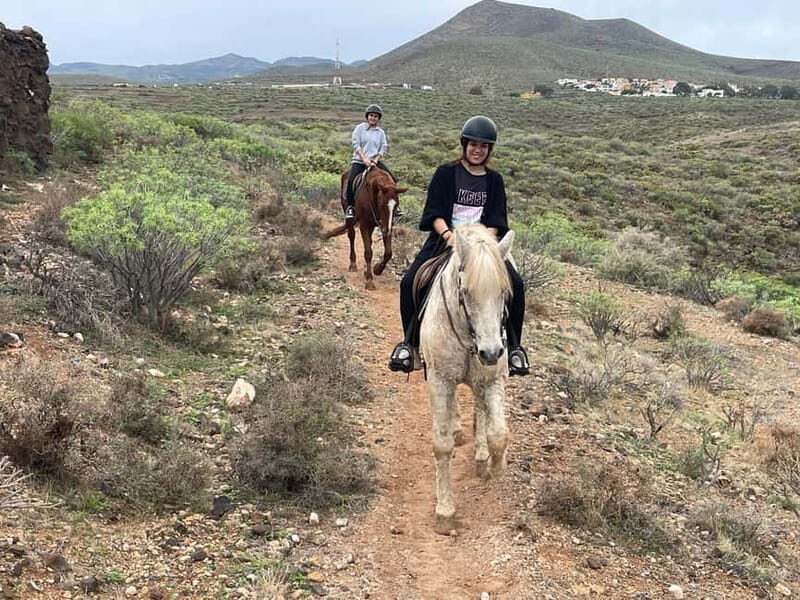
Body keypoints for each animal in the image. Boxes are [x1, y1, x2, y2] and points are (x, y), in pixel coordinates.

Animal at [419, 223, 514, 534]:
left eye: (504, 292)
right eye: (465, 291)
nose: (492, 352)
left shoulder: (492, 379)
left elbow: (498, 434)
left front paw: (496, 466)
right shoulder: (439, 380)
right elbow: (441, 445)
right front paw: (445, 511)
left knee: (480, 410)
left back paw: (481, 455)